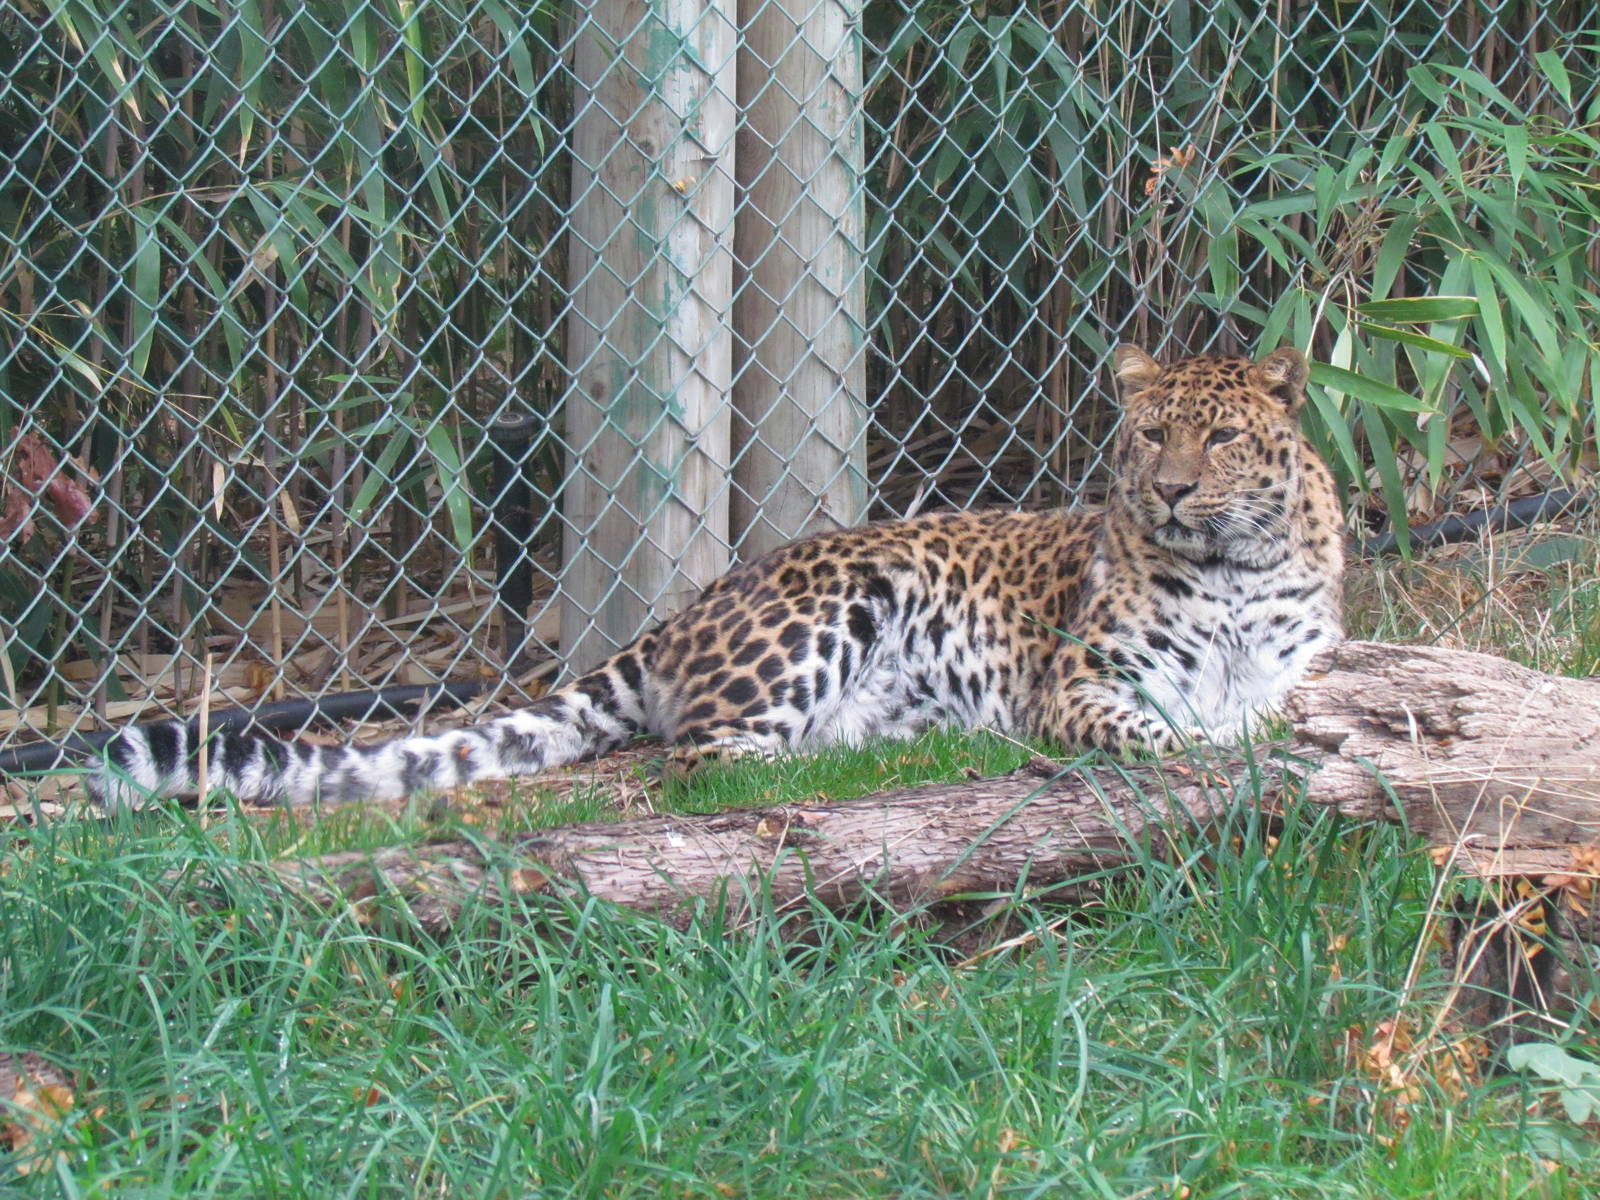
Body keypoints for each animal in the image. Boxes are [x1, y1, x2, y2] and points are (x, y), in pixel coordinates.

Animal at [86, 345, 1344, 808]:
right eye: (1151, 437)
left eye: (1218, 439)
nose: (1171, 491)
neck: (1229, 570)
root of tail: (680, 616)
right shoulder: (1073, 682)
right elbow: (1148, 728)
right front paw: (1201, 745)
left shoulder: (1306, 658)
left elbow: (1292, 697)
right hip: (839, 600)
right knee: (700, 756)